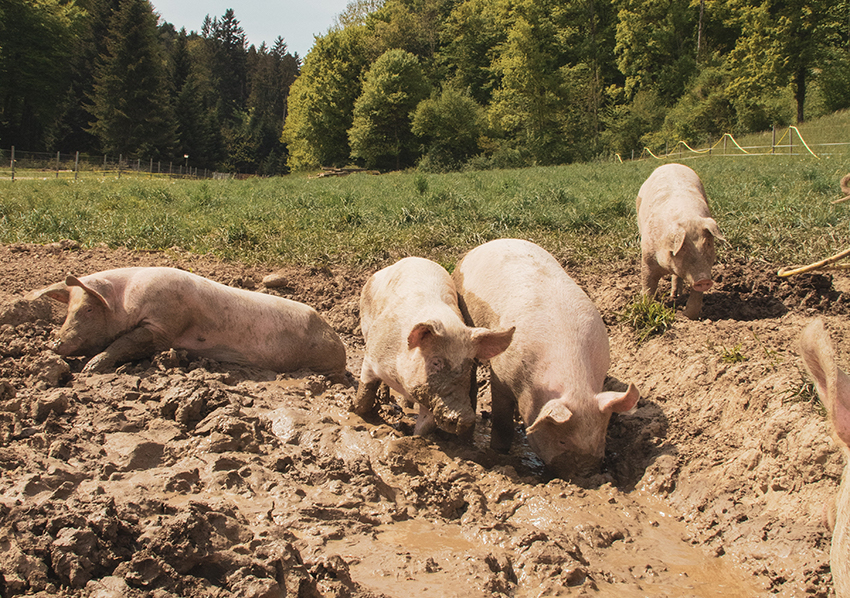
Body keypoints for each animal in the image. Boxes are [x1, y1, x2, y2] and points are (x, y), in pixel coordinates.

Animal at [29, 268, 348, 380]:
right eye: (67, 311)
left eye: (88, 309)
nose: (55, 343)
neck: (126, 303)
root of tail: (336, 336)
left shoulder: (163, 323)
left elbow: (128, 342)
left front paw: (90, 370)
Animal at [350, 256, 512, 436]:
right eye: (436, 362)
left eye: (469, 366)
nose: (466, 417)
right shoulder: (371, 357)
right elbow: (365, 393)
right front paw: (357, 414)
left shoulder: (430, 397)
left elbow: (425, 426)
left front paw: (415, 438)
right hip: (365, 323)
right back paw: (385, 398)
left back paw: (406, 406)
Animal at [450, 239, 636, 478]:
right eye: (562, 441)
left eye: (600, 437)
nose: (587, 475)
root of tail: (492, 242)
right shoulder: (501, 376)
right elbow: (501, 421)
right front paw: (499, 452)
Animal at [636, 162, 724, 322]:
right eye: (683, 248)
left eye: (707, 244)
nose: (703, 280)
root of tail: (670, 164)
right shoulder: (647, 257)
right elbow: (648, 285)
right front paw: (646, 306)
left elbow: (696, 294)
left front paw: (688, 316)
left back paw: (676, 296)